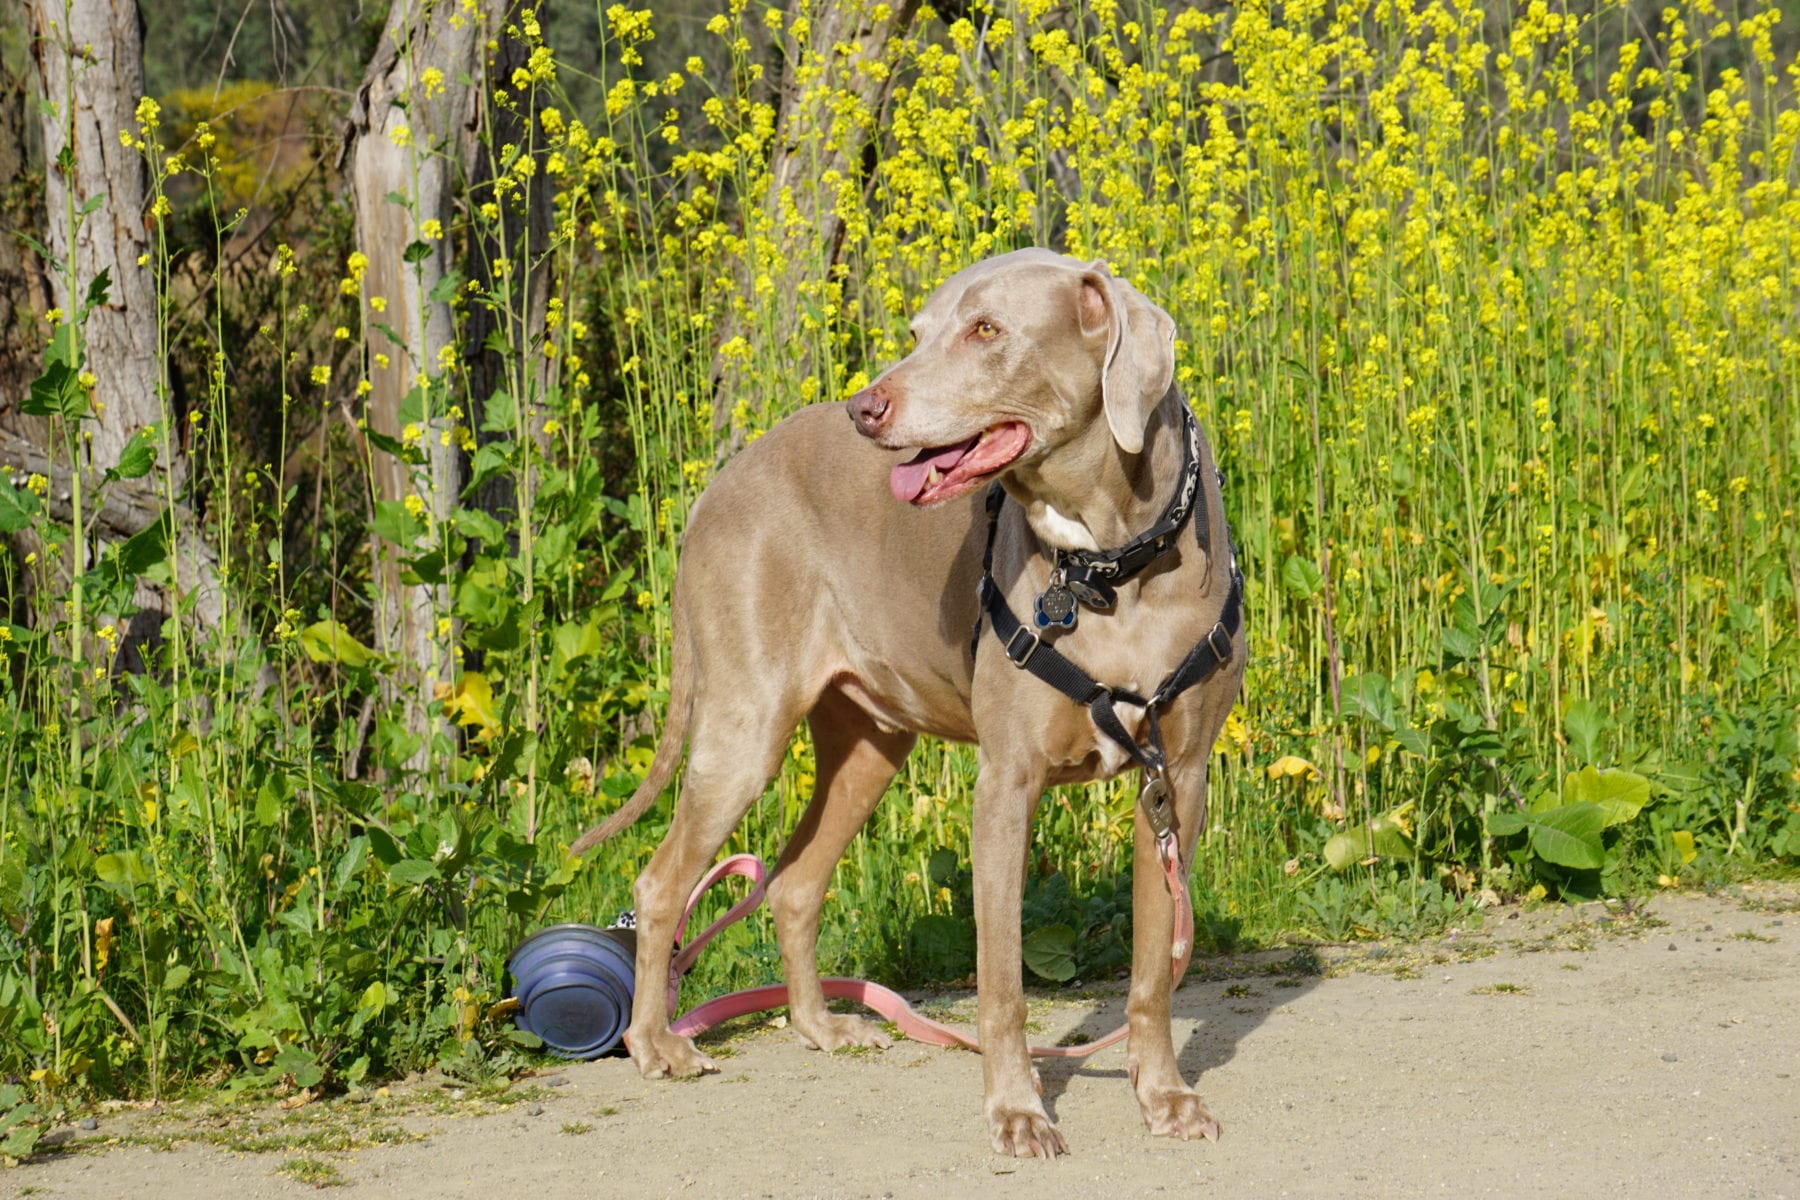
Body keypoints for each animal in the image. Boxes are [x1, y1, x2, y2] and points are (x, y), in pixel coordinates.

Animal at [568, 248, 1245, 1158]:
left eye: (986, 330)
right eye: (917, 332)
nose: (867, 408)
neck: (1109, 565)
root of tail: (718, 485)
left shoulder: (1178, 779)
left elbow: (1151, 974)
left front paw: (1165, 1098)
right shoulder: (1006, 784)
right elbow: (1002, 983)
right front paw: (1018, 1112)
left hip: (870, 745)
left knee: (793, 884)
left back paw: (822, 1026)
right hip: (745, 730)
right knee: (660, 881)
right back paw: (655, 1044)